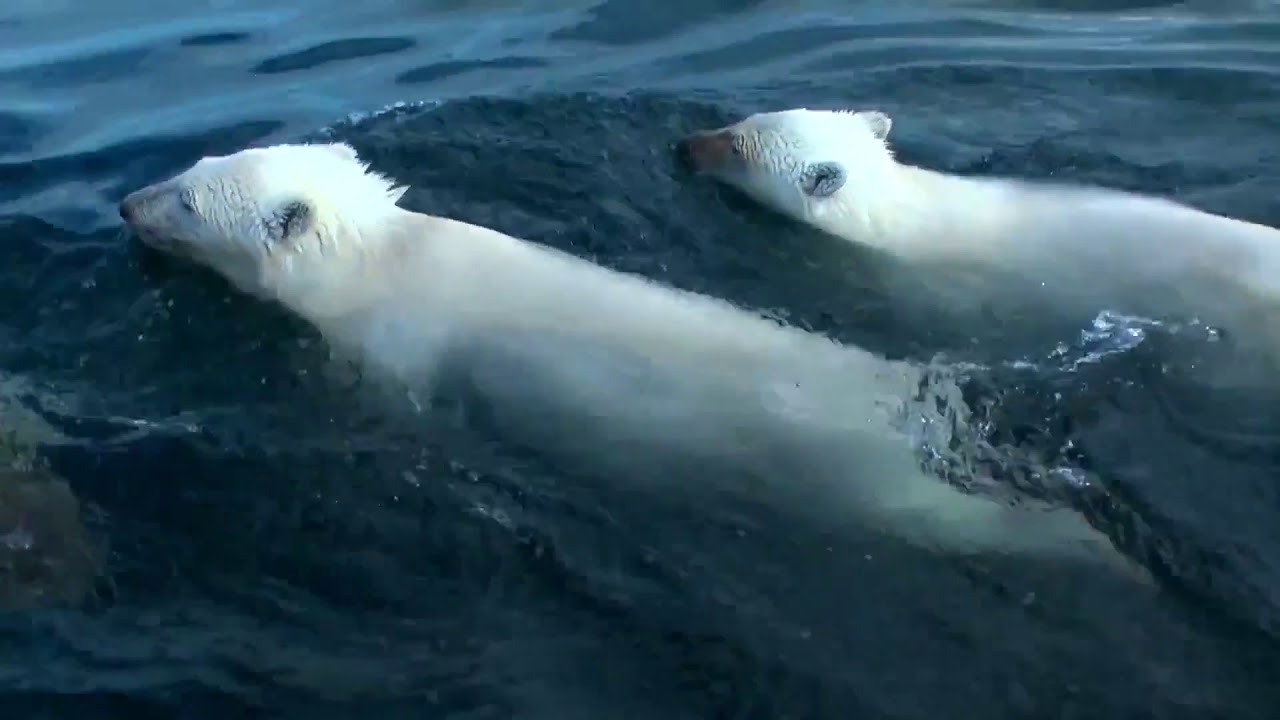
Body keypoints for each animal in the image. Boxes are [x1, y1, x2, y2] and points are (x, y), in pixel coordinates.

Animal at [117, 141, 1144, 575]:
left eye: (188, 199)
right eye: (190, 169)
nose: (125, 201)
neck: (386, 259)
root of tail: (923, 408)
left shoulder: (394, 344)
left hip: (860, 471)